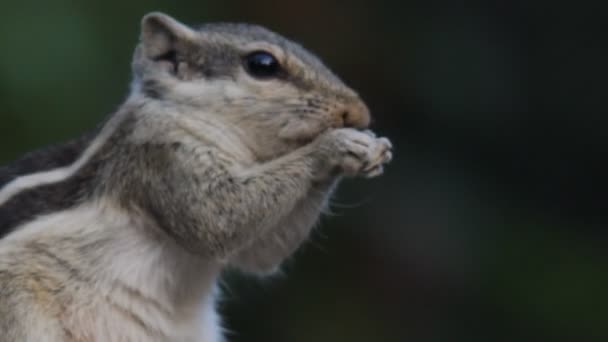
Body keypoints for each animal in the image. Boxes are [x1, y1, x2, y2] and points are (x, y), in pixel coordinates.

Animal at [0, 12, 392, 342]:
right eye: (262, 64)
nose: (359, 112)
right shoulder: (164, 158)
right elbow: (216, 219)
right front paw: (335, 147)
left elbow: (262, 253)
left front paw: (372, 148)